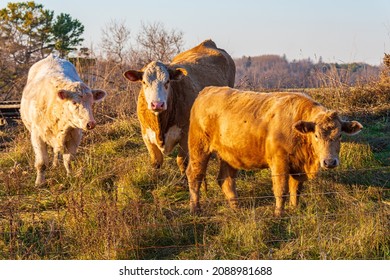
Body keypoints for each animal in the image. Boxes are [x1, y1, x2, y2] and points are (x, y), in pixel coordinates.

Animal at [20, 54, 106, 186]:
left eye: (92, 103)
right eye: (74, 102)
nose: (90, 123)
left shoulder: (75, 135)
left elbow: (69, 160)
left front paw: (70, 176)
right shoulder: (36, 135)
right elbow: (41, 163)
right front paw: (39, 182)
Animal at [123, 39, 236, 174]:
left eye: (167, 81)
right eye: (144, 82)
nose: (157, 104)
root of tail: (207, 43)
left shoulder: (185, 133)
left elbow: (182, 161)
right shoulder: (146, 134)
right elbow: (156, 161)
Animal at [186, 86, 362, 215]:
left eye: (340, 135)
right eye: (316, 135)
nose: (329, 162)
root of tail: (207, 90)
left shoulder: (298, 167)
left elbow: (295, 189)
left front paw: (294, 209)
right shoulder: (279, 162)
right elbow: (281, 189)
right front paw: (279, 213)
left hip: (229, 154)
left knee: (226, 179)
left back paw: (236, 208)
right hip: (198, 148)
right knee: (195, 175)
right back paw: (195, 209)